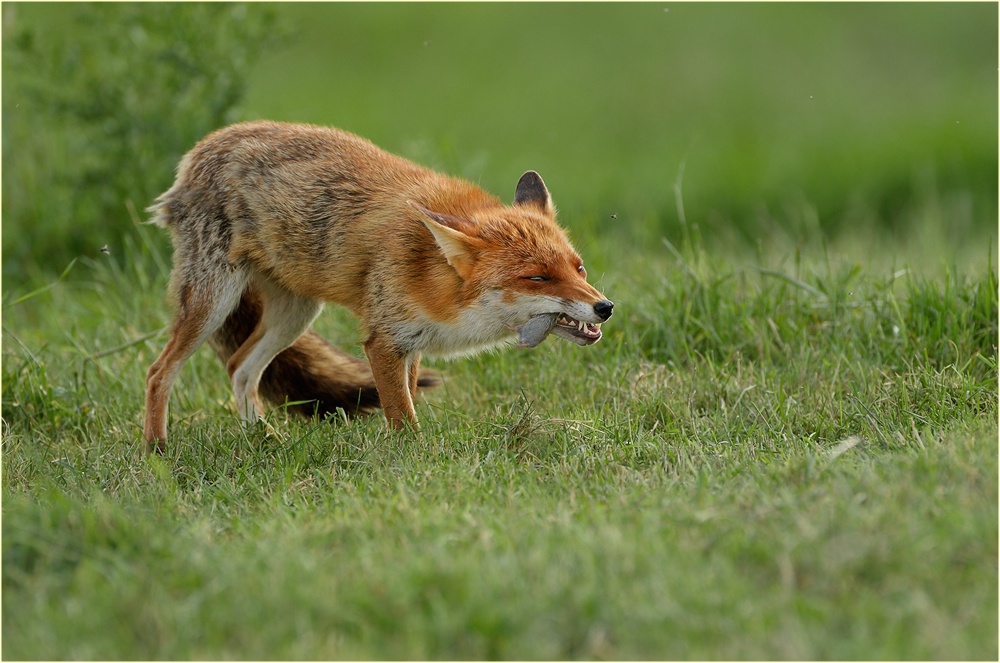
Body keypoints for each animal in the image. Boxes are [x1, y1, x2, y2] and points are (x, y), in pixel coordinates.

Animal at [141, 120, 608, 452]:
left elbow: (407, 399)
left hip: (294, 316)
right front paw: (414, 459)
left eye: (579, 269)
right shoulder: (382, 341)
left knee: (240, 368)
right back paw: (157, 450)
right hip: (213, 302)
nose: (605, 308)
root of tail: (203, 147)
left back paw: (264, 440)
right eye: (538, 278)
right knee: (158, 372)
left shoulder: (411, 343)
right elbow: (401, 416)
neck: (432, 275)